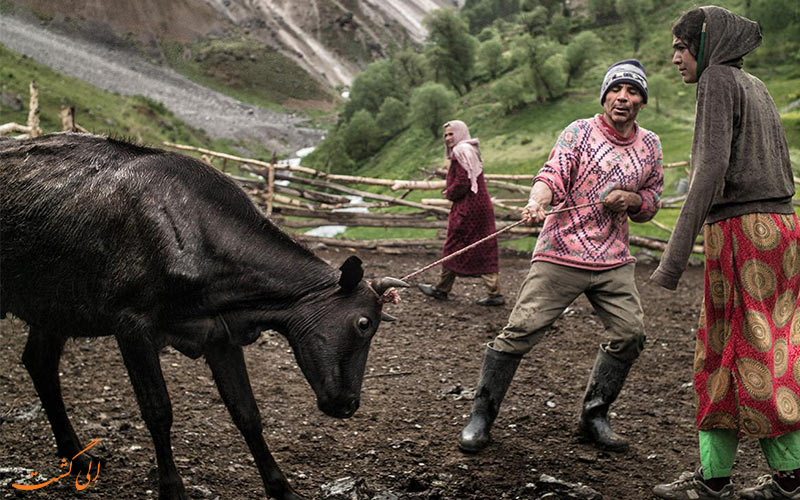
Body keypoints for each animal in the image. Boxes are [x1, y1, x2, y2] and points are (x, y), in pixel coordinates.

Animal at [0, 134, 400, 500]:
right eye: (364, 323)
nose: (348, 403)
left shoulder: (219, 335)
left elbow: (247, 414)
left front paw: (281, 488)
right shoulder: (131, 325)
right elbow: (158, 410)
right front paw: (172, 488)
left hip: (52, 308)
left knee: (39, 364)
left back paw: (77, 457)